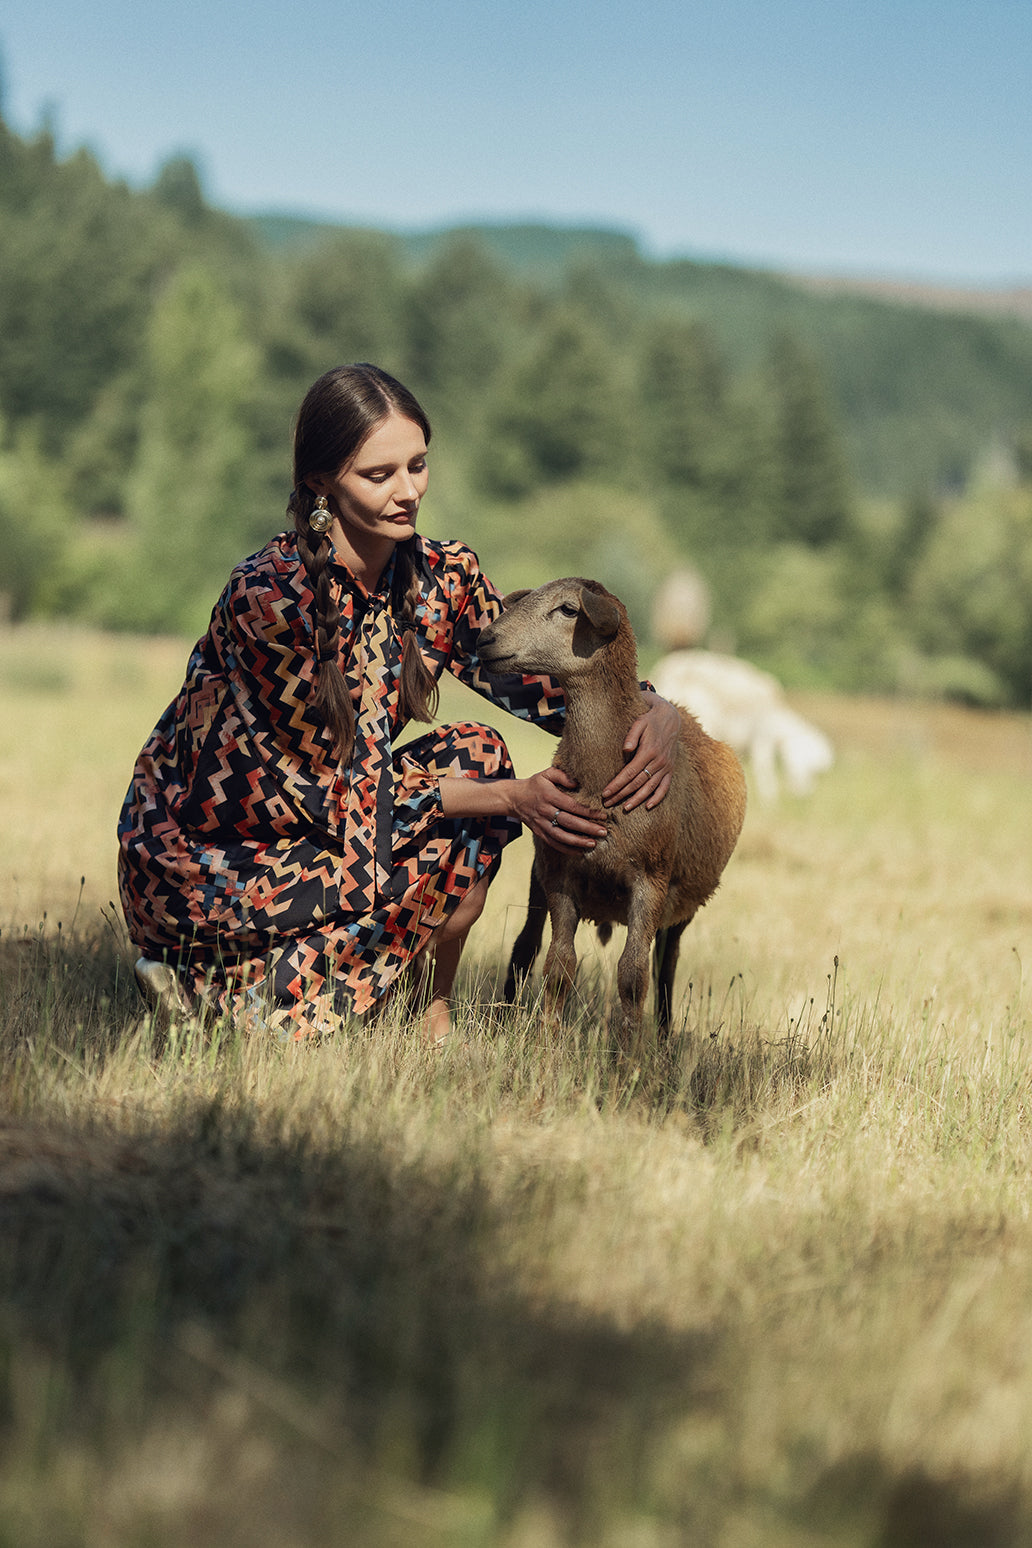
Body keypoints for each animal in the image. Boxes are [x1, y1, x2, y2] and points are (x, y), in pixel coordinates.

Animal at [479, 582, 745, 1052]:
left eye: (569, 609)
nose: (485, 638)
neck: (601, 776)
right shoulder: (560, 874)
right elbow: (559, 964)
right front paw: (548, 1042)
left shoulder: (651, 882)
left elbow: (632, 976)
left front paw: (628, 1055)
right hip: (537, 878)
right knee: (525, 947)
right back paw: (505, 1015)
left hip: (683, 906)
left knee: (665, 967)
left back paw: (662, 1037)